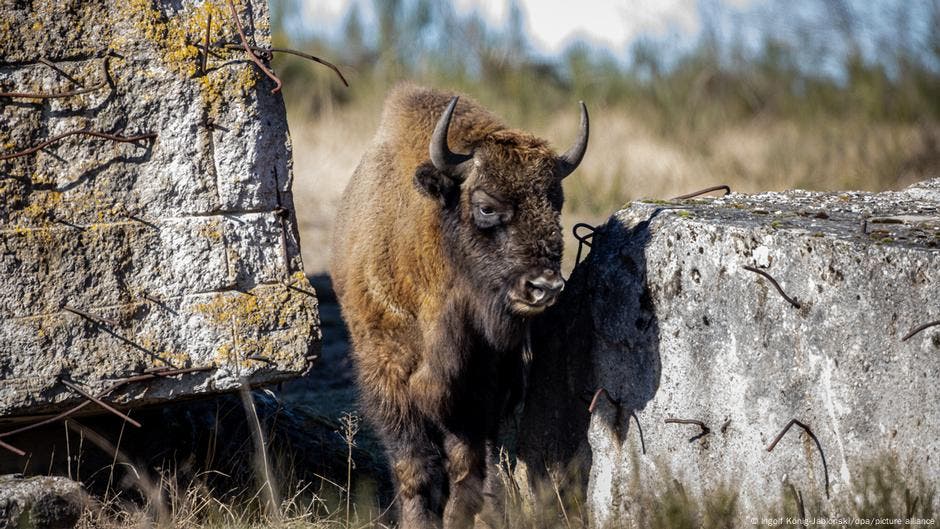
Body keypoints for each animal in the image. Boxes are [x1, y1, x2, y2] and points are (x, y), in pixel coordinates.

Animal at [332, 84, 588, 524]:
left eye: (555, 204)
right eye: (486, 206)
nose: (545, 287)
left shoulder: (480, 384)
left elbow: (466, 462)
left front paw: (461, 516)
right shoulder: (390, 375)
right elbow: (414, 464)